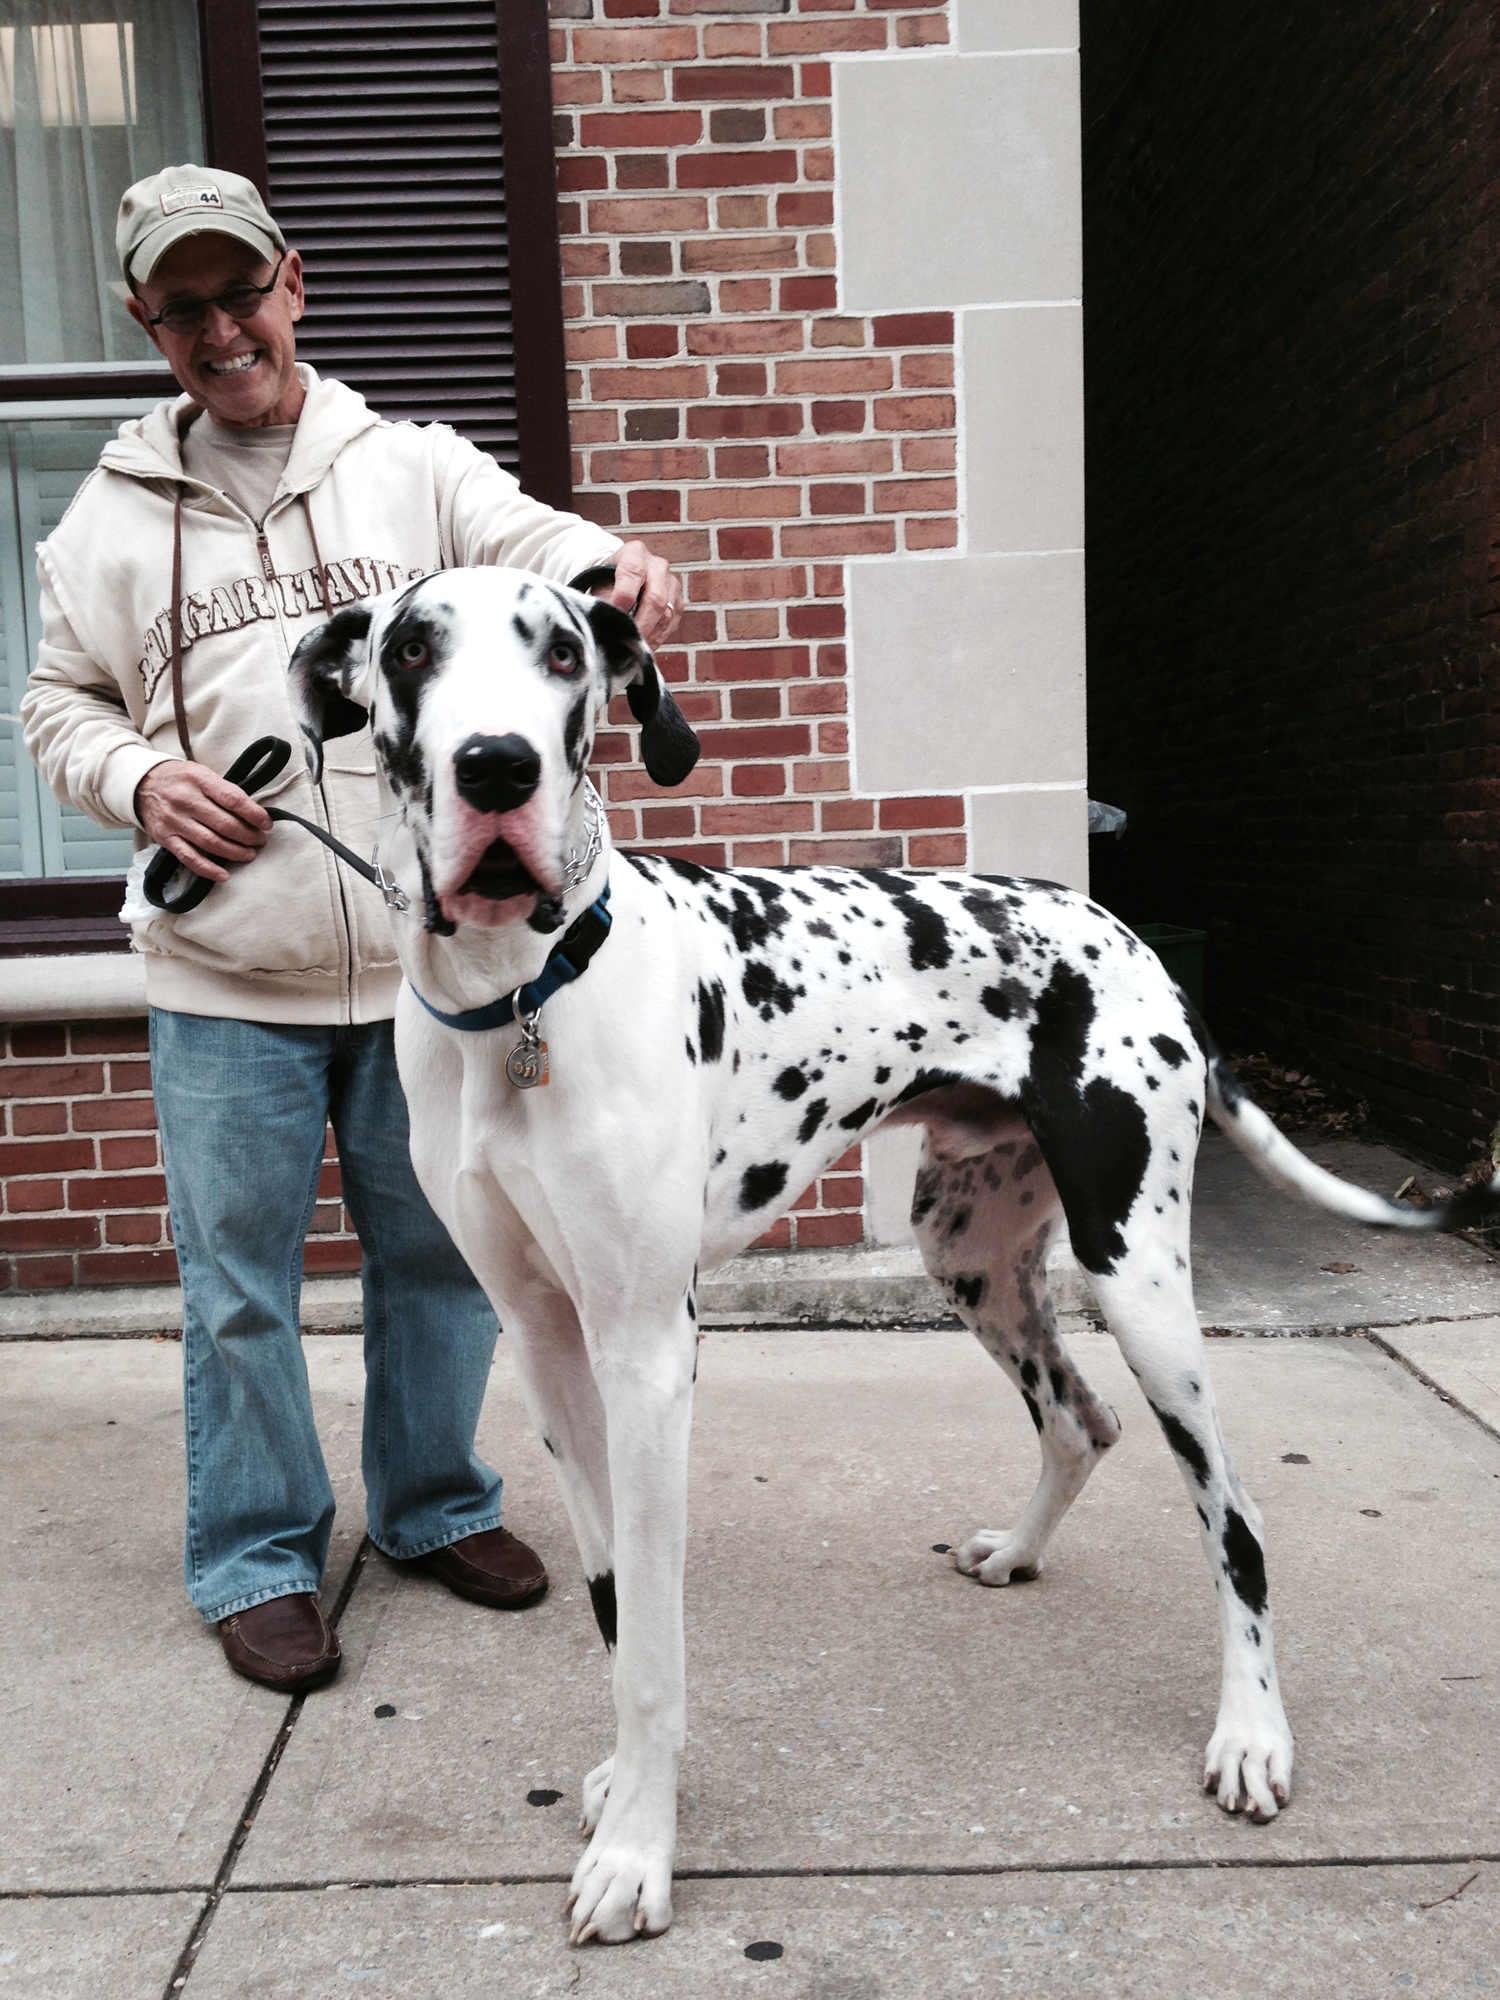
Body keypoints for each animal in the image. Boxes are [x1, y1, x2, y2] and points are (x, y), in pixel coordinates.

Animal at [288, 572, 1496, 1944]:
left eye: (560, 652)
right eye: (410, 648)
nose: (496, 765)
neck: (523, 994)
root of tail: (1127, 933)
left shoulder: (647, 1355)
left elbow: (653, 1644)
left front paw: (640, 1850)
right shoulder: (547, 1347)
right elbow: (611, 1602)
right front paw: (623, 1786)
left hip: (1140, 1280)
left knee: (1232, 1519)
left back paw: (1253, 1735)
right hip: (969, 1254)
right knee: (1078, 1418)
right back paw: (1020, 1550)